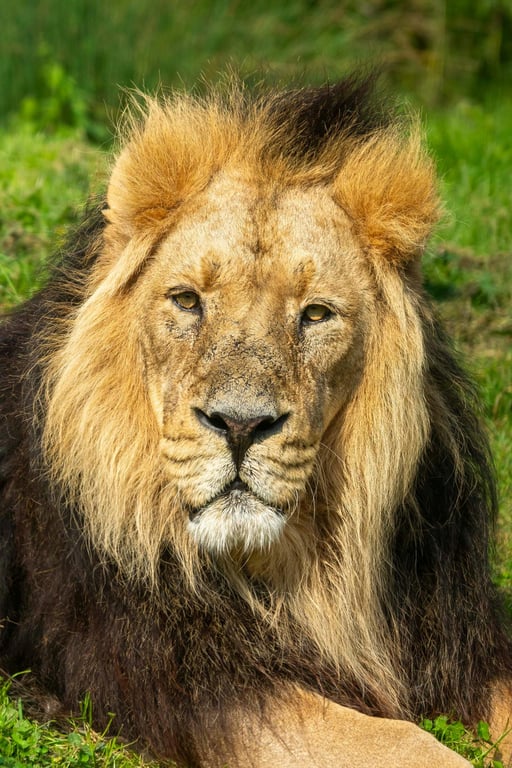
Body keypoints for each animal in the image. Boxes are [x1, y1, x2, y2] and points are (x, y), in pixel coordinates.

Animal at [0, 73, 511, 768]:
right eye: (187, 301)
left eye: (316, 314)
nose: (240, 426)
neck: (306, 561)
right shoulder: (196, 677)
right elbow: (400, 741)